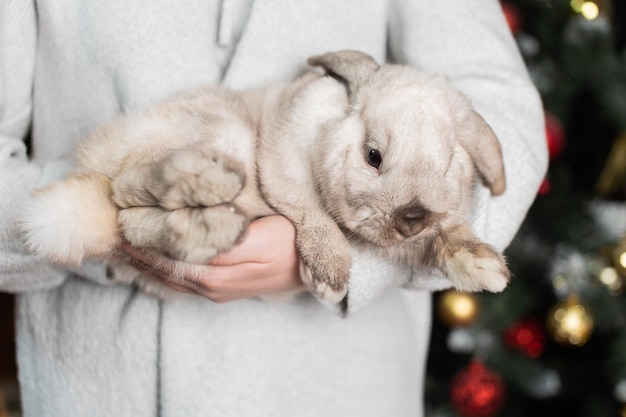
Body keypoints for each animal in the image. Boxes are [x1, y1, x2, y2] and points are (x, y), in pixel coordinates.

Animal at [20, 50, 508, 300]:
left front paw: (486, 268)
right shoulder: (283, 168)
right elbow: (312, 215)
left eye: (448, 162)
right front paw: (330, 275)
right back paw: (209, 199)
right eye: (373, 156)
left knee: (133, 221)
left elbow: (444, 239)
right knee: (127, 200)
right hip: (221, 135)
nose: (411, 217)